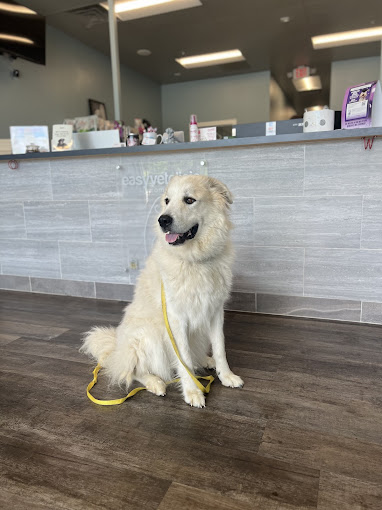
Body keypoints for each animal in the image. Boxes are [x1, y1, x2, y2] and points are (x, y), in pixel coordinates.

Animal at [81, 174, 243, 406]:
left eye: (189, 200)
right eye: (167, 200)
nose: (162, 220)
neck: (194, 260)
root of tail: (117, 348)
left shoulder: (215, 312)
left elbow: (220, 348)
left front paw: (226, 376)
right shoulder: (176, 320)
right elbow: (183, 359)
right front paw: (193, 391)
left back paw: (205, 360)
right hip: (150, 336)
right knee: (132, 370)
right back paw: (155, 383)